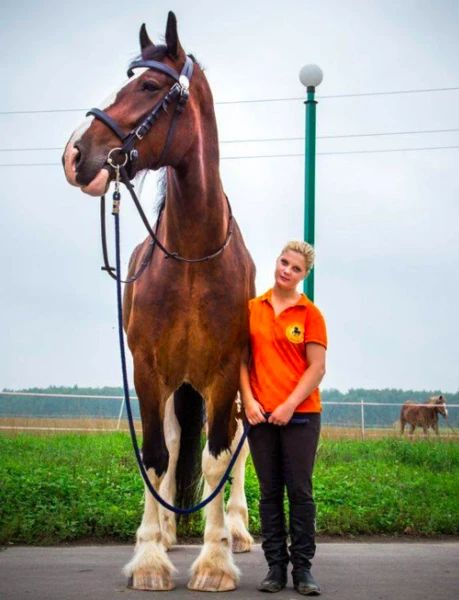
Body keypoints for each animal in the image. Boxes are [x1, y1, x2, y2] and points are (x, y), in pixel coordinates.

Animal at [62, 11, 255, 592]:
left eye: (149, 86)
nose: (75, 154)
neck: (192, 255)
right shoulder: (148, 370)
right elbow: (154, 457)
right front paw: (150, 555)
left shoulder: (224, 373)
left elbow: (216, 460)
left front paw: (215, 561)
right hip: (174, 385)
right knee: (170, 447)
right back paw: (168, 529)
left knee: (238, 451)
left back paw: (238, 529)